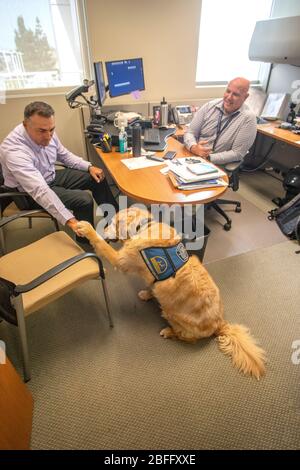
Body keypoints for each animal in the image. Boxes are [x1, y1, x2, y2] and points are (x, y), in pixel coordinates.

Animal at [76, 207, 266, 380]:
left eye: (112, 222)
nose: (103, 229)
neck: (144, 227)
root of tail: (220, 323)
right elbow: (152, 285)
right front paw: (147, 294)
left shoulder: (121, 259)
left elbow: (101, 245)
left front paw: (86, 228)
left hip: (172, 314)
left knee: (188, 338)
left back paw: (168, 332)